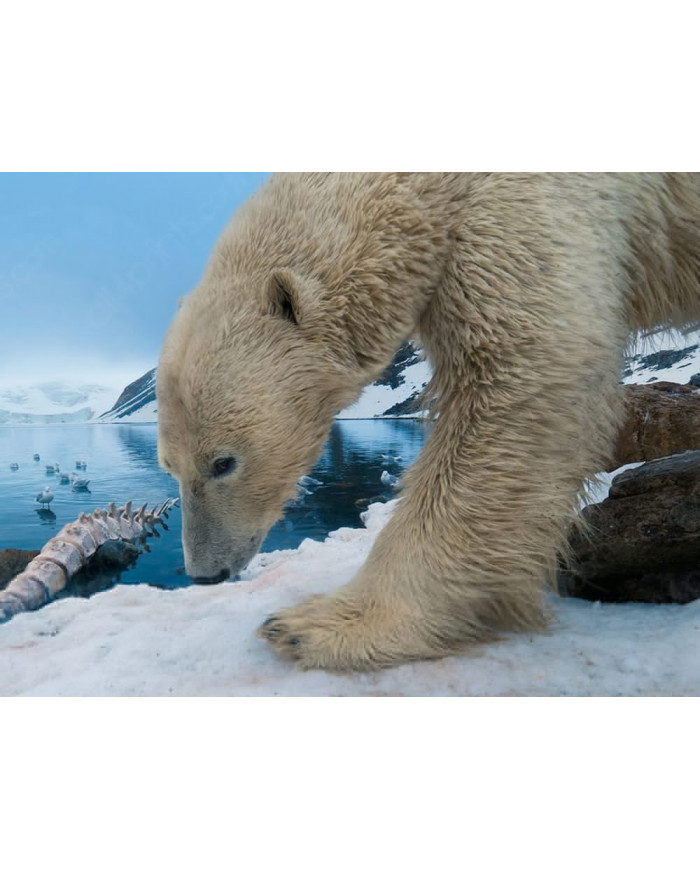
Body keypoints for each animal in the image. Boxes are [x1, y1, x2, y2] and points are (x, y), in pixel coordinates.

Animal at [156, 173, 700, 671]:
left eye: (223, 462)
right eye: (170, 467)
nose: (204, 573)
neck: (426, 184)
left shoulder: (528, 204)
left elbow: (523, 374)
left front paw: (317, 626)